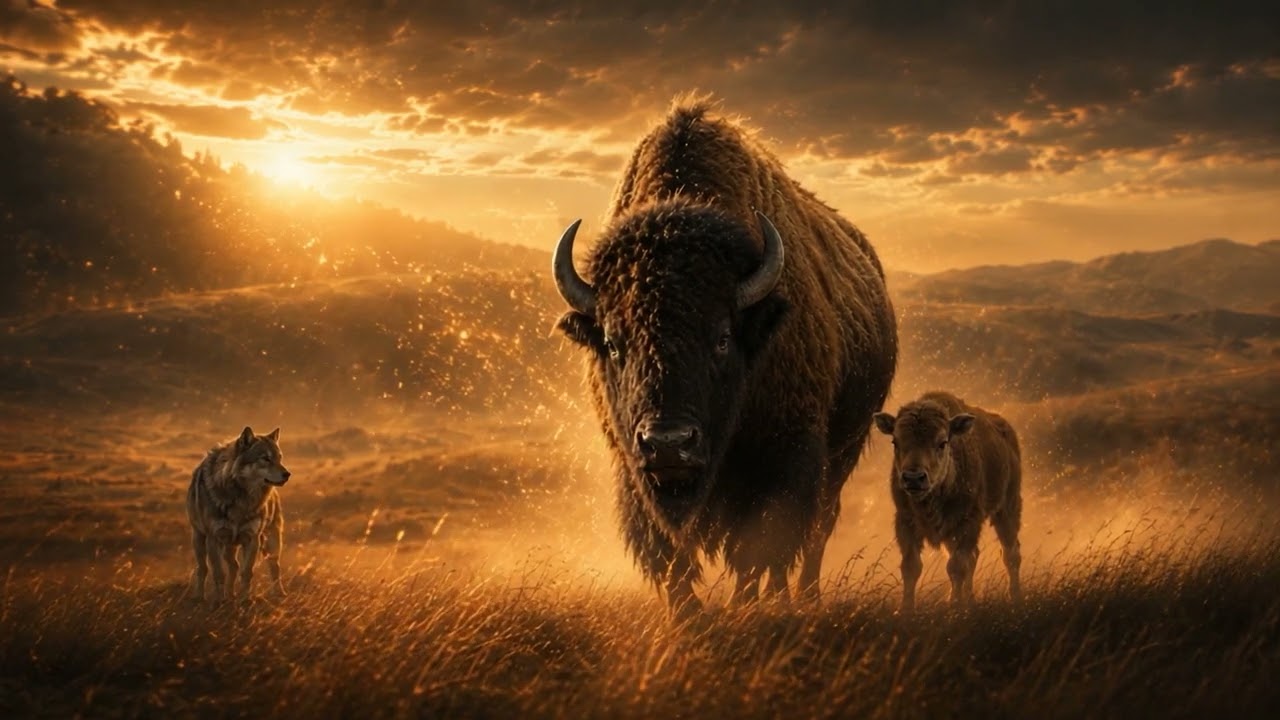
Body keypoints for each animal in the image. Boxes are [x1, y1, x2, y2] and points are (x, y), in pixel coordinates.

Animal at [553, 100, 897, 616]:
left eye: (721, 338)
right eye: (613, 342)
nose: (669, 443)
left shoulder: (783, 458)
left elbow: (758, 546)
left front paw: (745, 606)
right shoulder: (635, 472)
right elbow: (670, 557)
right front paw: (688, 615)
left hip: (844, 449)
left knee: (819, 527)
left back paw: (804, 597)